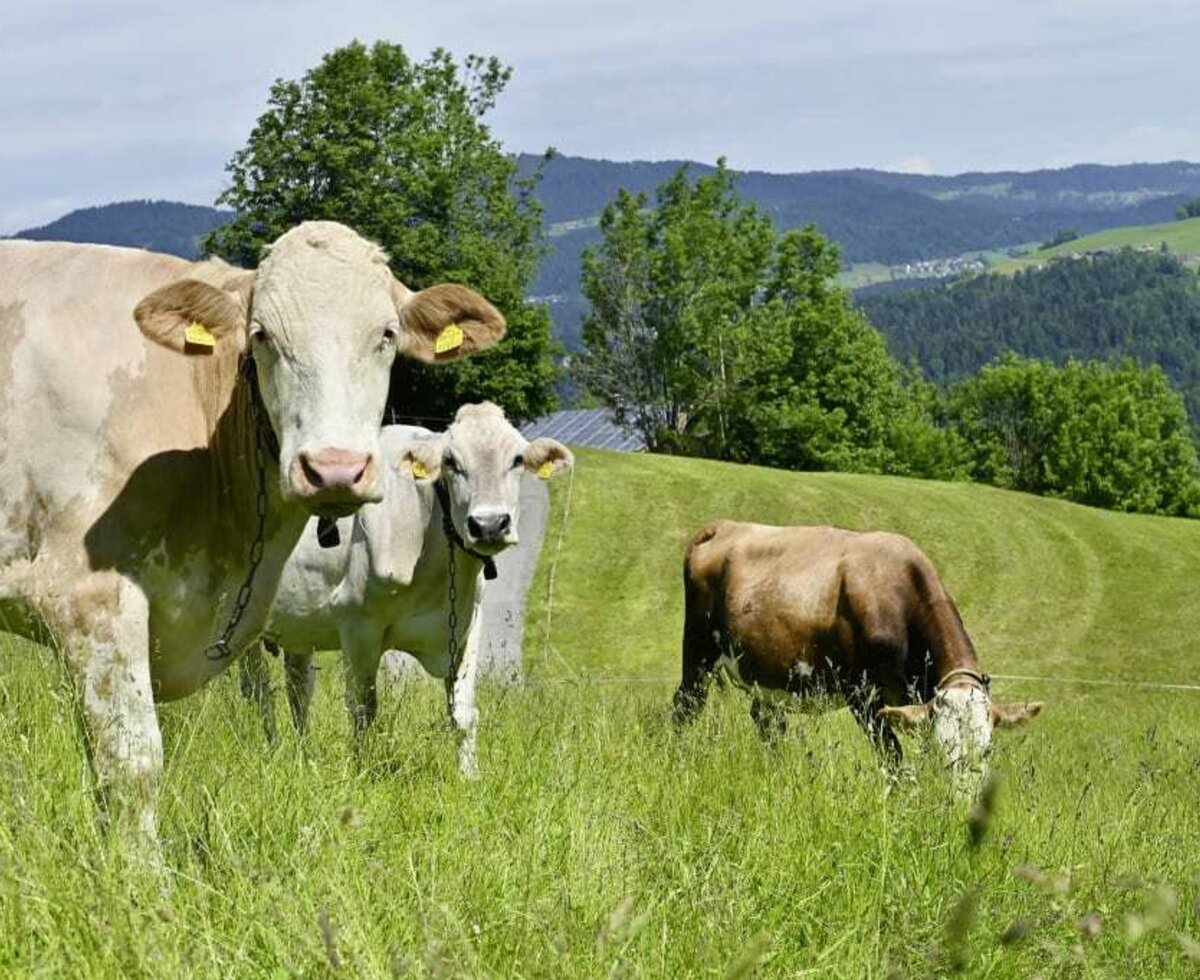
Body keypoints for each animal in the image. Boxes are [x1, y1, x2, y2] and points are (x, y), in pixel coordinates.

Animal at [0, 221, 504, 839]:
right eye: (262, 336)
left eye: (386, 335)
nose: (334, 469)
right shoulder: (86, 595)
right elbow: (130, 761)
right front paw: (139, 868)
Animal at [243, 400, 571, 777]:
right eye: (451, 461)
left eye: (517, 459)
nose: (489, 524)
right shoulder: (359, 626)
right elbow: (363, 708)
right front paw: (362, 771)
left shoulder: (468, 623)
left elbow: (463, 714)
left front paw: (470, 776)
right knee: (257, 691)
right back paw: (271, 747)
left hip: (299, 626)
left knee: (298, 688)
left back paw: (302, 753)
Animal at [676, 520, 1041, 786]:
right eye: (942, 750)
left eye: (988, 749)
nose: (963, 802)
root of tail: (723, 525)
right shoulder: (861, 696)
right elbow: (893, 757)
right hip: (697, 655)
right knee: (684, 709)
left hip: (765, 675)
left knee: (767, 723)